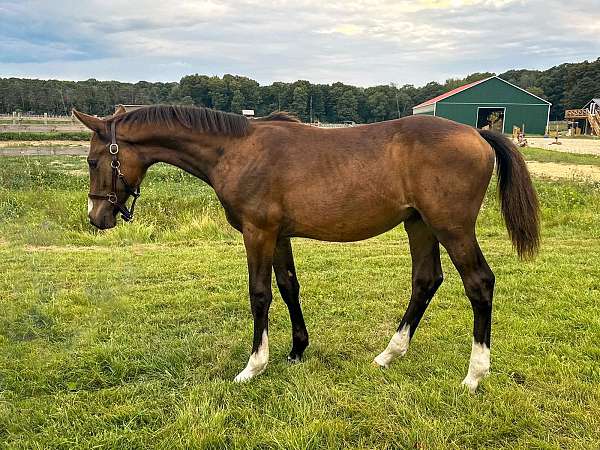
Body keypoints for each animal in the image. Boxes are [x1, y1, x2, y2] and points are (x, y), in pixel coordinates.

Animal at [75, 104, 540, 390]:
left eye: (94, 161)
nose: (97, 217)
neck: (237, 149)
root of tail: (478, 133)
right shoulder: (278, 235)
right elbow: (288, 287)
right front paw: (297, 350)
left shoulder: (258, 232)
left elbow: (260, 294)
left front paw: (253, 366)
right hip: (419, 225)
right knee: (426, 280)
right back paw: (389, 354)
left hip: (452, 228)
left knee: (479, 283)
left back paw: (475, 374)